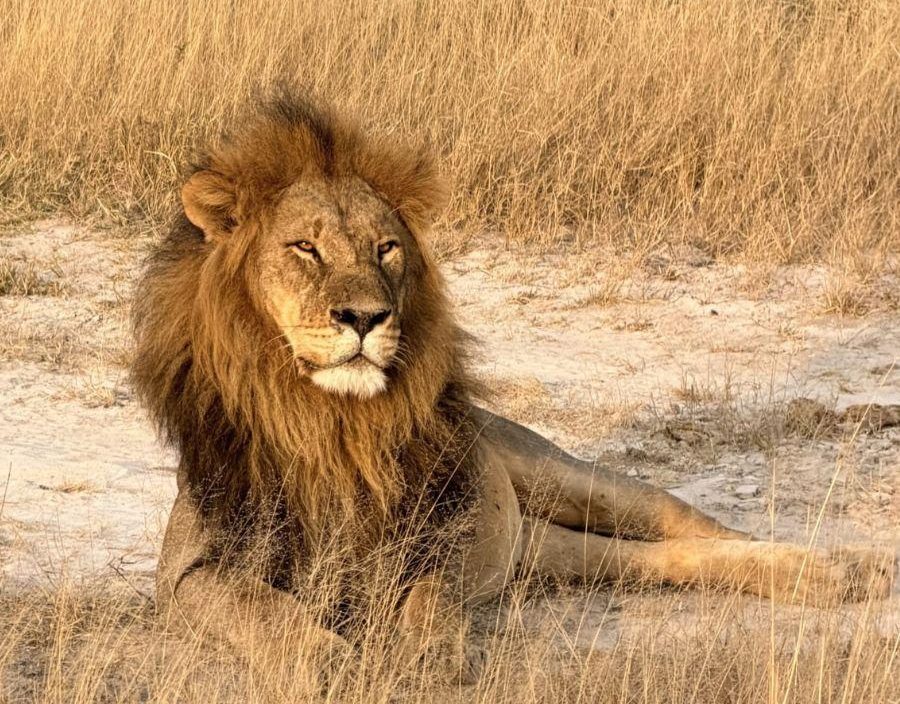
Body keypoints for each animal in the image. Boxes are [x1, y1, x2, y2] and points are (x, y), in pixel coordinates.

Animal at [132, 93, 894, 684]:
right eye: (305, 248)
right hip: (544, 551)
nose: (366, 317)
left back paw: (839, 572)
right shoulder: (190, 569)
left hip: (563, 478)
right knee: (659, 560)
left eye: (386, 248)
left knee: (700, 525)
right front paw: (326, 660)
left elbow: (431, 592)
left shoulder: (450, 519)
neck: (328, 419)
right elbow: (258, 607)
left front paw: (426, 652)